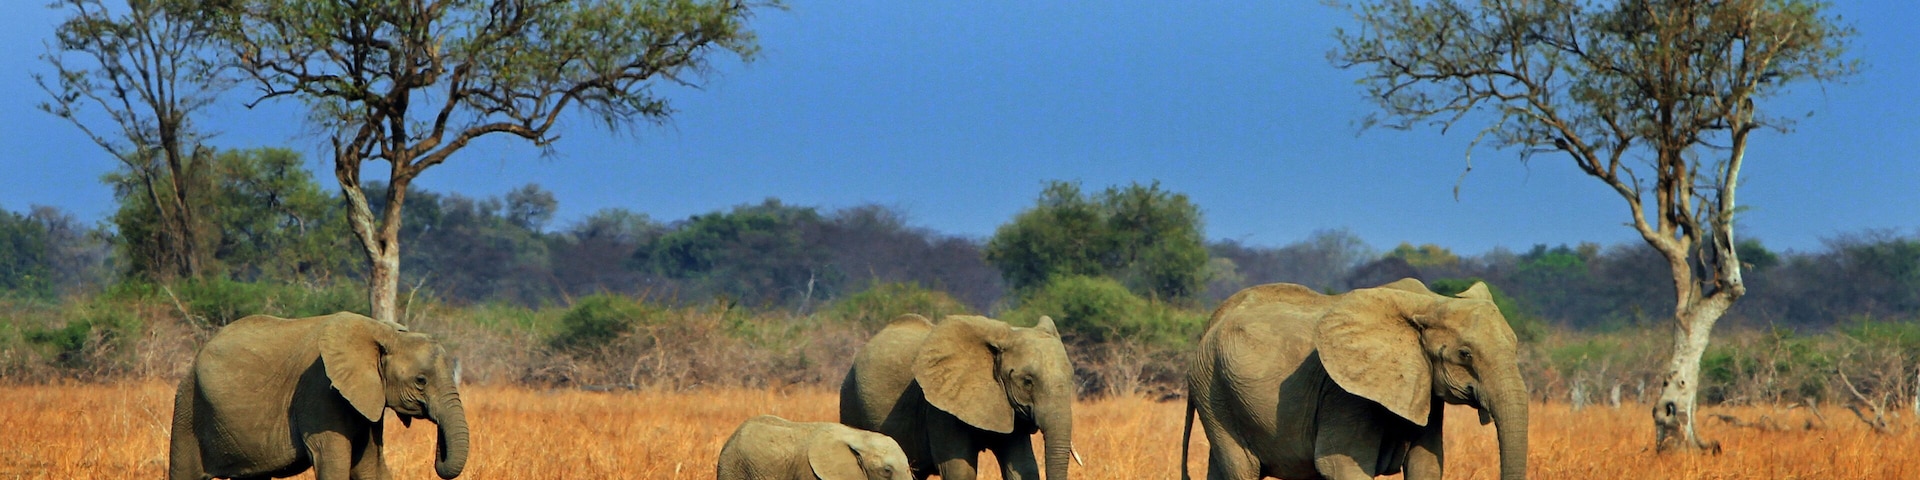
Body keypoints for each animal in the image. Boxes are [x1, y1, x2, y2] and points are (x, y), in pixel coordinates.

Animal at [169, 312, 470, 480]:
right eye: (421, 381)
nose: (439, 450)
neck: (383, 331)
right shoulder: (319, 391)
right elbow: (332, 463)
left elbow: (370, 468)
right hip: (188, 407)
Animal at [839, 314, 1075, 480]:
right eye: (1028, 381)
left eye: (1071, 378)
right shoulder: (940, 408)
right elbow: (959, 470)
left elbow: (1023, 468)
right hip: (851, 401)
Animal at [1181, 279, 1529, 480]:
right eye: (1465, 354)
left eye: (1515, 346)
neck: (1430, 302)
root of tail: (1213, 319)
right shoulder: (1344, 393)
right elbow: (1338, 466)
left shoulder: (1422, 384)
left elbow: (1426, 464)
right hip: (1213, 389)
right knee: (1243, 469)